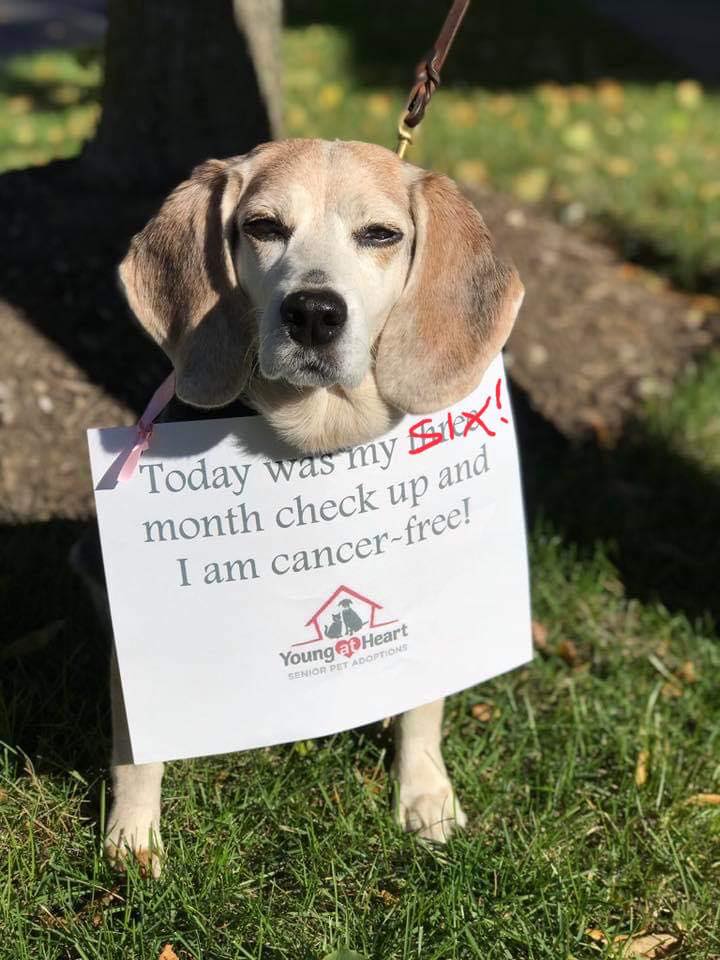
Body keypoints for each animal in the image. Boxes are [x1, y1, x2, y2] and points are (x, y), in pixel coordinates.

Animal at [98, 137, 524, 876]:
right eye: (263, 226)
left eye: (381, 235)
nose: (314, 313)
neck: (320, 435)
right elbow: (138, 752)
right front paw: (132, 835)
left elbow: (424, 706)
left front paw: (426, 796)